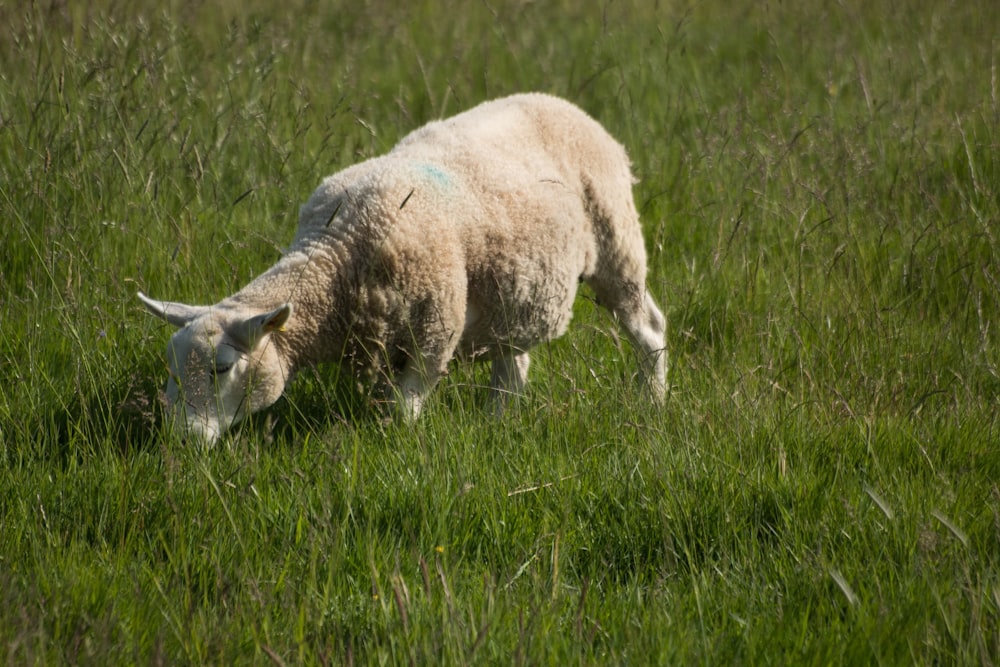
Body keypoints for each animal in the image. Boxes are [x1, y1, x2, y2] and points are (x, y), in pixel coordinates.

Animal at [137, 91, 668, 440]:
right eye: (171, 369)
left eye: (222, 368)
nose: (182, 439)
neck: (336, 255)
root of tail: (560, 101)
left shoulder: (434, 332)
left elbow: (404, 410)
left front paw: (400, 451)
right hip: (511, 291)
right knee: (512, 365)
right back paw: (501, 422)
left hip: (617, 244)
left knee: (650, 329)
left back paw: (654, 402)